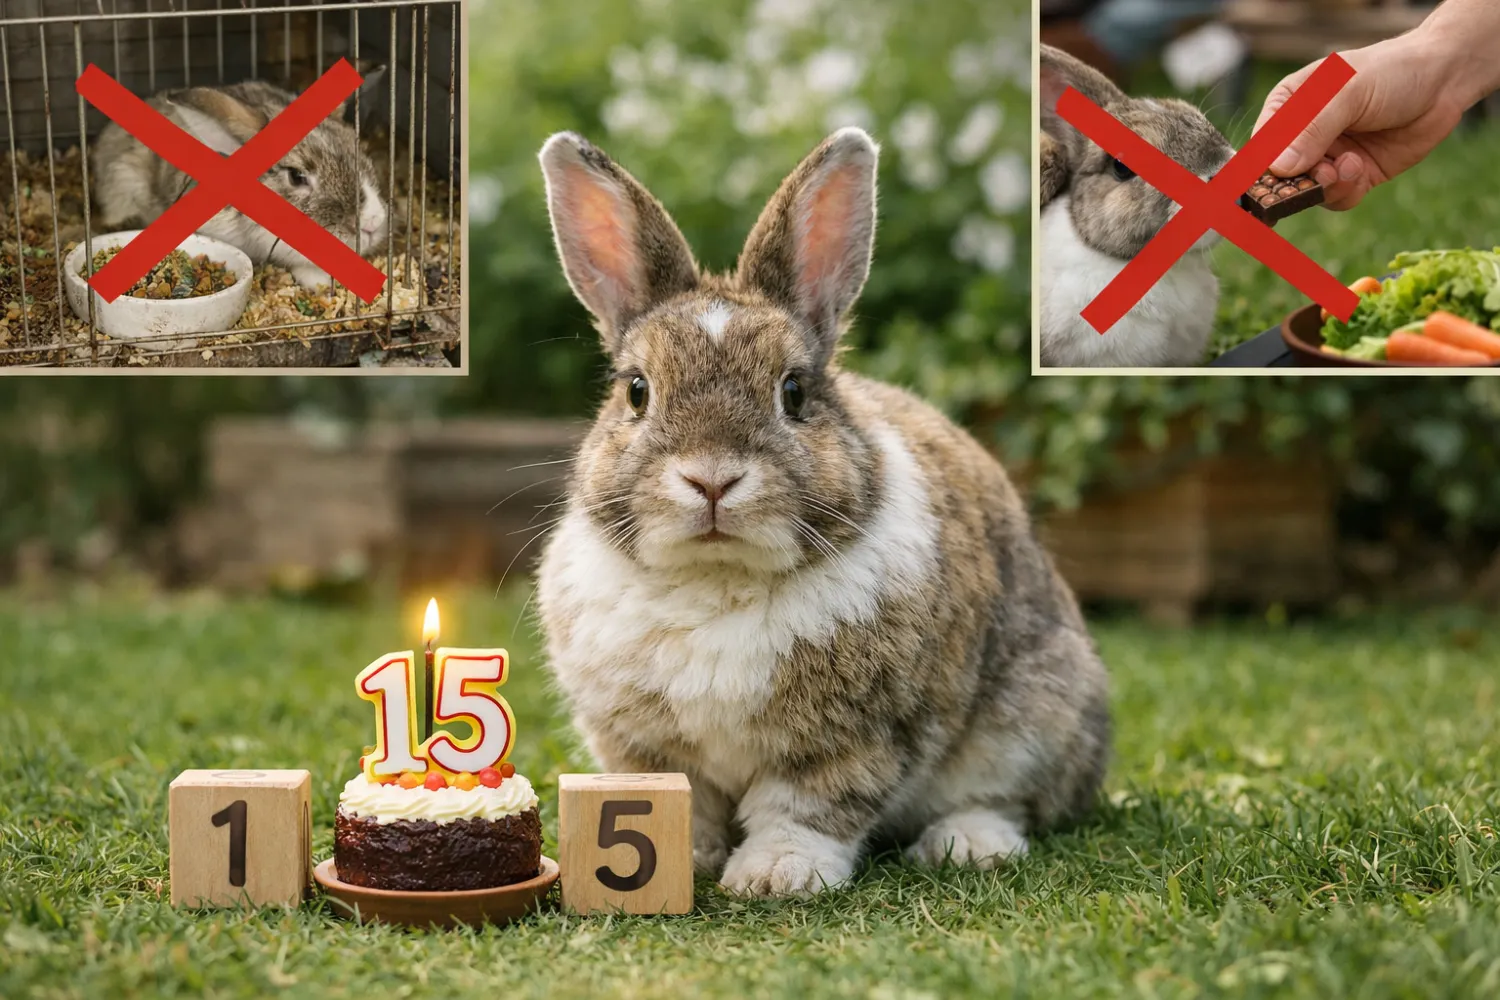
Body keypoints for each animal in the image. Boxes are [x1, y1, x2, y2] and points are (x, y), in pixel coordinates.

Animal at [533, 127, 1111, 898]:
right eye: (636, 391)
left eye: (795, 392)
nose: (711, 479)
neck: (718, 581)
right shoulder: (642, 745)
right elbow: (680, 798)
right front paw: (688, 856)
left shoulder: (854, 738)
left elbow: (809, 806)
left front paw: (777, 875)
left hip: (1034, 716)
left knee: (1009, 801)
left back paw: (965, 845)